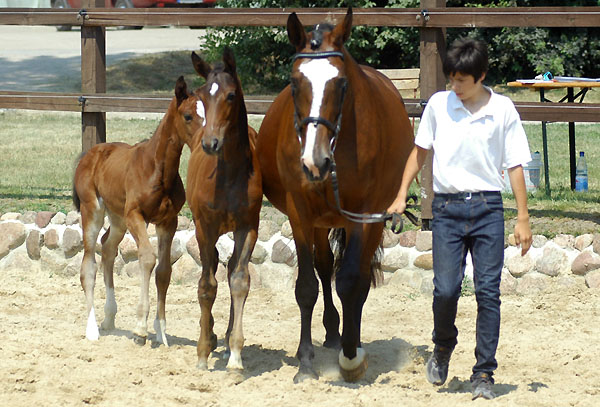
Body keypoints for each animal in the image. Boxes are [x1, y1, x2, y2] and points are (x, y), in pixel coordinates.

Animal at [72, 77, 204, 348]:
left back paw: (109, 317)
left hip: (118, 218)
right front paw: (140, 329)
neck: (157, 171)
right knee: (88, 263)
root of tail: (88, 154)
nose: (211, 142)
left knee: (107, 247)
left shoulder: (168, 221)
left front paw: (161, 332)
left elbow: (164, 270)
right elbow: (147, 258)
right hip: (94, 211)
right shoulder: (137, 216)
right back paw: (92, 329)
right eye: (188, 115)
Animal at [255, 8, 414, 386]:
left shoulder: (364, 216)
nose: (315, 161)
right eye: (294, 83)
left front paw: (352, 358)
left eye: (341, 84)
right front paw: (306, 363)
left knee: (355, 280)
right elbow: (306, 286)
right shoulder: (300, 214)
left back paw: (347, 340)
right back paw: (330, 332)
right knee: (325, 267)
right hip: (320, 220)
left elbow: (351, 282)